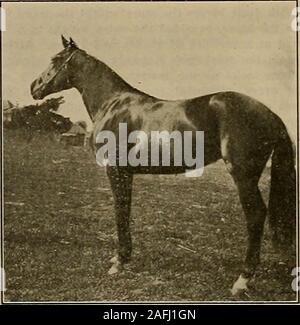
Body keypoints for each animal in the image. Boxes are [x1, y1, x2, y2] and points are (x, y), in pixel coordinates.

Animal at [29, 36, 296, 294]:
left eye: (56, 59)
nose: (34, 87)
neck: (114, 104)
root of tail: (271, 114)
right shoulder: (126, 172)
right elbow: (126, 209)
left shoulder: (116, 170)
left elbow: (120, 210)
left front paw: (119, 261)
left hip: (243, 176)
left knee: (256, 215)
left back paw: (242, 280)